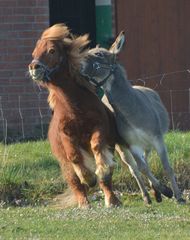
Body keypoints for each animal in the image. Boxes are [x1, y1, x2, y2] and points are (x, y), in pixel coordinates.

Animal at [28, 23, 120, 208]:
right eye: (34, 53)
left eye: (51, 51)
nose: (34, 68)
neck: (75, 109)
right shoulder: (65, 134)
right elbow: (74, 156)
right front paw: (88, 178)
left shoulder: (100, 126)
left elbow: (97, 146)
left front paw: (100, 171)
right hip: (65, 165)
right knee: (75, 184)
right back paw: (84, 204)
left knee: (106, 182)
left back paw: (112, 200)